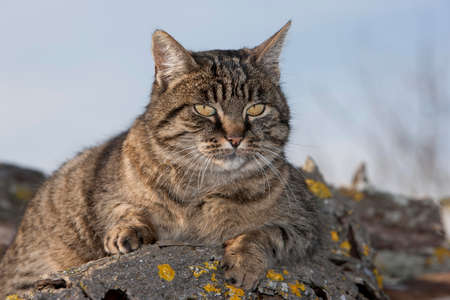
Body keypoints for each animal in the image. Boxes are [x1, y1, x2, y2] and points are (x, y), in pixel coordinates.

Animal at [0, 20, 320, 296]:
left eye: (255, 109)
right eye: (205, 108)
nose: (235, 138)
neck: (203, 189)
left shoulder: (306, 224)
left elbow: (264, 234)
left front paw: (244, 263)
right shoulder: (109, 195)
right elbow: (125, 209)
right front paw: (128, 230)